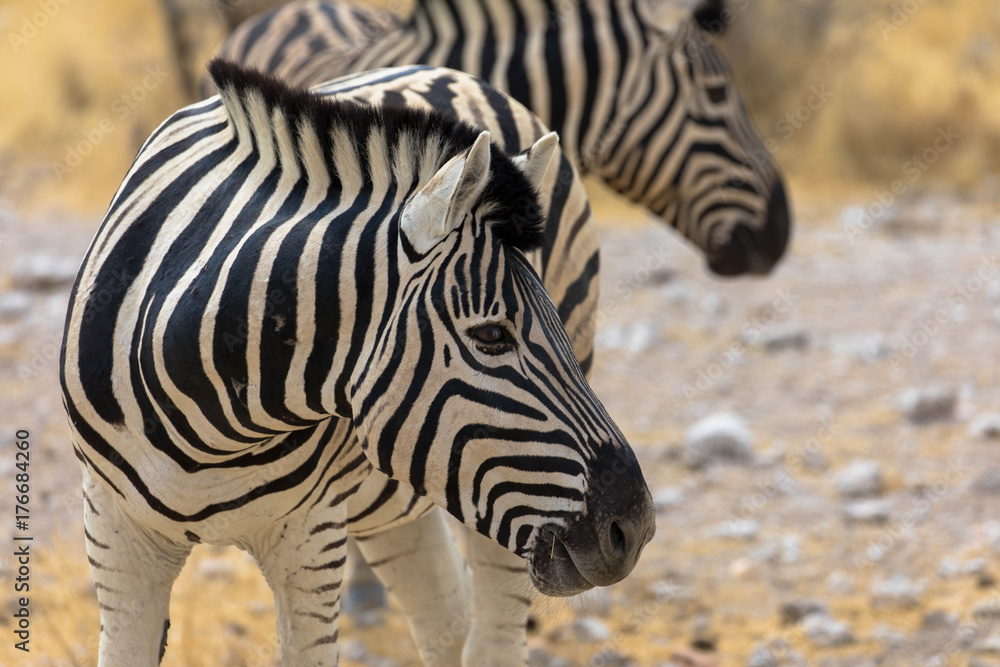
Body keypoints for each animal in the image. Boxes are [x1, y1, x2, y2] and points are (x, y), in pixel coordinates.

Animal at [60, 60, 655, 666]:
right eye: (491, 336)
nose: (635, 527)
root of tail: (455, 74)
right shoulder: (114, 534)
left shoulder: (311, 538)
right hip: (399, 493)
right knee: (447, 620)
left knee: (493, 640)